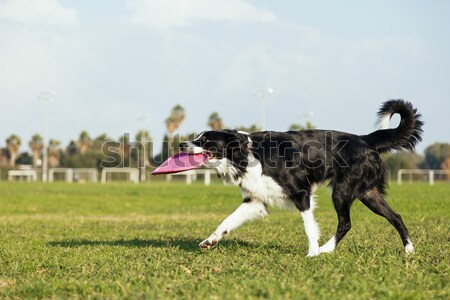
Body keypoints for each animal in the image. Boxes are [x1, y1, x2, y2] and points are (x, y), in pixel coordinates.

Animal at [179, 99, 422, 256]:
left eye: (204, 140)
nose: (181, 144)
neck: (247, 155)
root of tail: (366, 139)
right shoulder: (255, 200)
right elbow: (227, 221)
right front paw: (210, 241)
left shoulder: (301, 193)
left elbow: (309, 226)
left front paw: (312, 253)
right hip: (368, 193)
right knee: (396, 216)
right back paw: (409, 250)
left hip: (342, 191)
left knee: (346, 223)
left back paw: (325, 249)